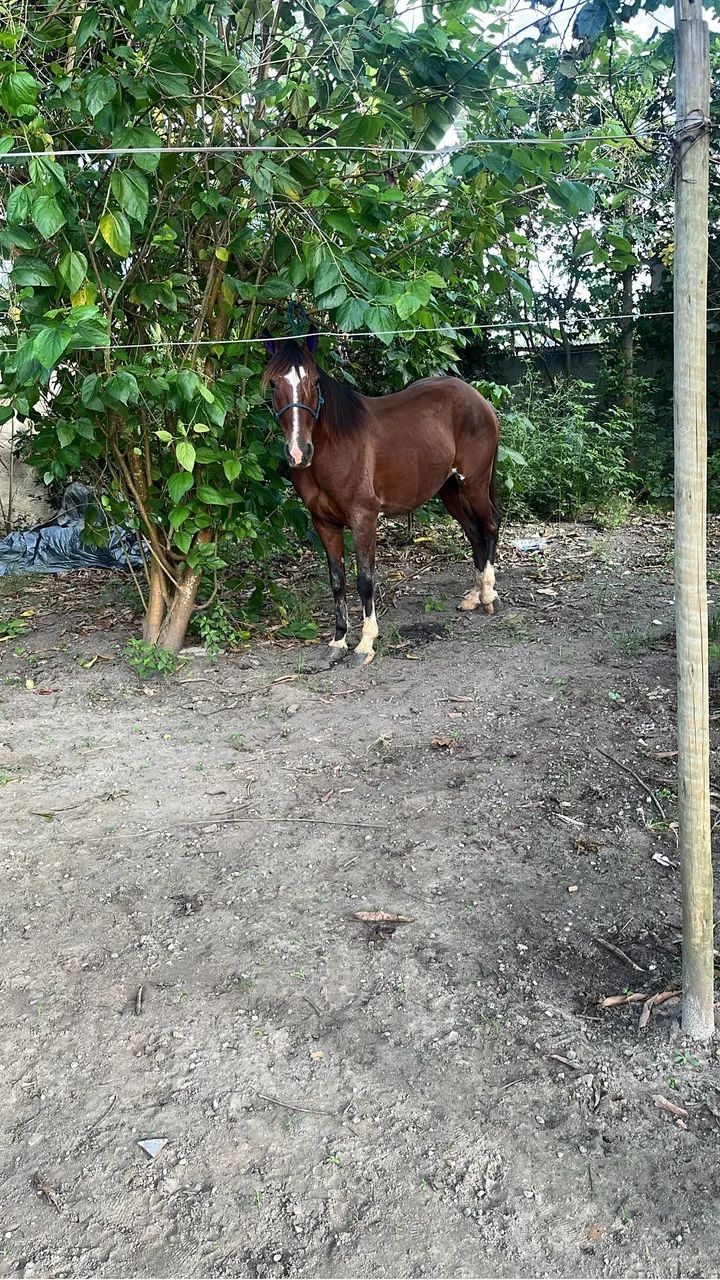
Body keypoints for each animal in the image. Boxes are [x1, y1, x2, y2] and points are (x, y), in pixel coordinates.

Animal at [262, 334, 500, 666]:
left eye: (314, 381)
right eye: (273, 383)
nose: (298, 452)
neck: (335, 444)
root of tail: (480, 400)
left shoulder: (364, 518)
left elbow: (364, 580)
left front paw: (365, 644)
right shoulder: (323, 522)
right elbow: (337, 580)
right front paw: (338, 641)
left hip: (474, 484)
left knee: (490, 526)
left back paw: (489, 596)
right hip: (450, 490)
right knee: (475, 532)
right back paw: (473, 597)